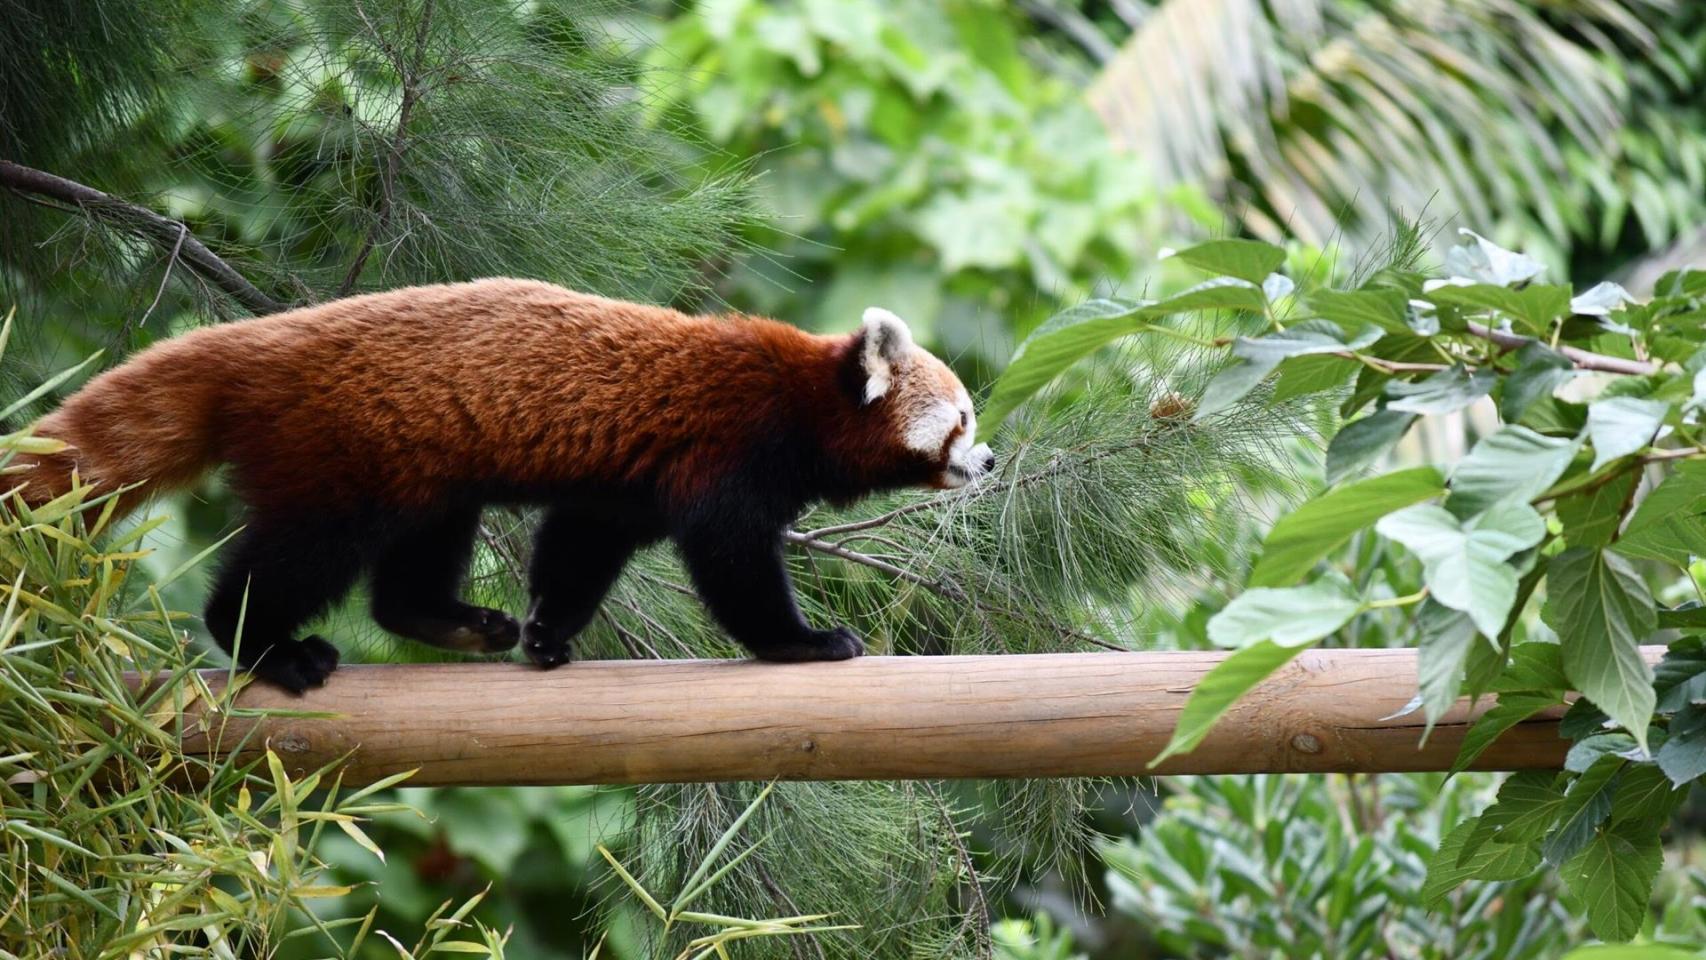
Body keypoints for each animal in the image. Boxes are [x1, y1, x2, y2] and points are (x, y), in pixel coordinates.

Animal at [13, 277, 996, 692]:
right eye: (962, 418)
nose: (989, 463)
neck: (804, 398)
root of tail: (262, 342)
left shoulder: (622, 483)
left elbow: (579, 547)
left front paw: (548, 633)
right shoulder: (729, 452)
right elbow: (733, 563)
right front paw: (804, 642)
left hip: (425, 467)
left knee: (412, 562)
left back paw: (454, 622)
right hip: (340, 455)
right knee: (299, 557)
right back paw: (267, 648)